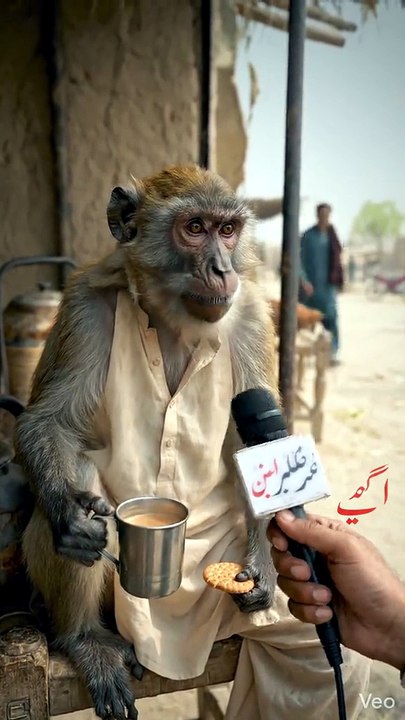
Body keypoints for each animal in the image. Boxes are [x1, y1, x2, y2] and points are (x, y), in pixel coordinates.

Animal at [14, 165, 279, 720]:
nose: (223, 269)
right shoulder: (83, 307)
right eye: (195, 228)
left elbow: (259, 450)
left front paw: (265, 567)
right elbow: (46, 423)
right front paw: (71, 517)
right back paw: (84, 638)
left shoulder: (249, 316)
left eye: (228, 230)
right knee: (79, 474)